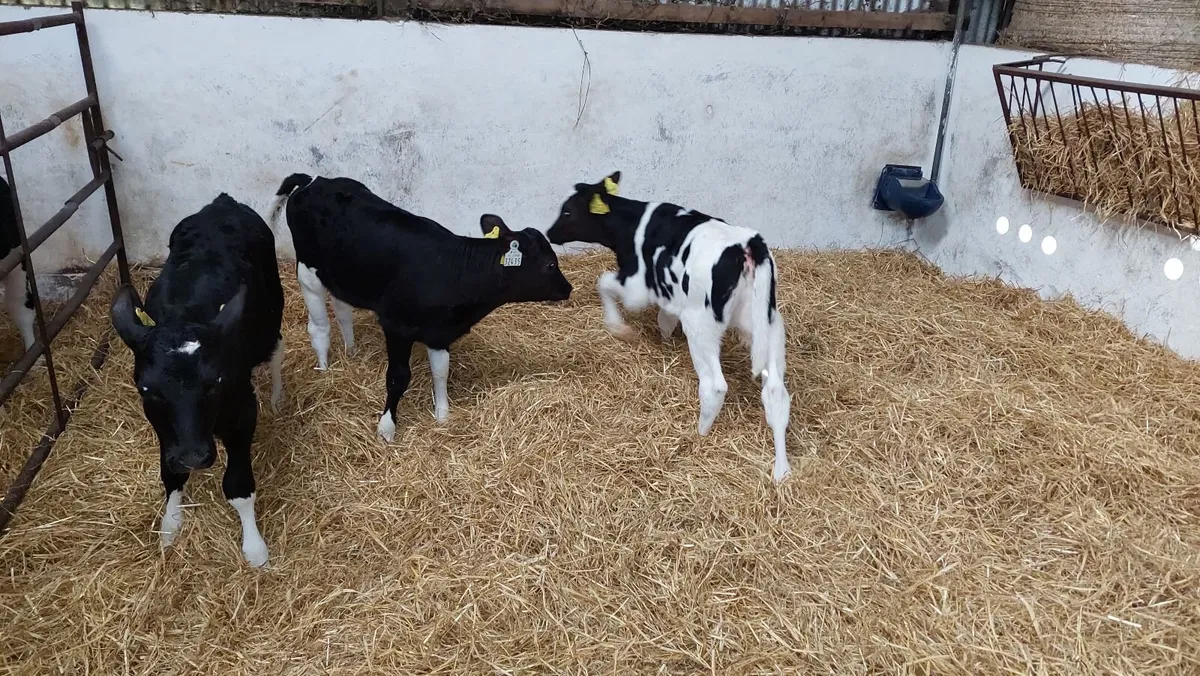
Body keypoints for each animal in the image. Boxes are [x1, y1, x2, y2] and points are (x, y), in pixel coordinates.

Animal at [110, 194, 285, 567]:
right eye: (147, 390)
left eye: (216, 382)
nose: (192, 456)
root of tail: (222, 202)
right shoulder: (162, 426)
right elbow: (170, 474)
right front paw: (170, 526)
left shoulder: (243, 411)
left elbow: (238, 486)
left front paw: (254, 548)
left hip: (271, 316)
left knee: (276, 348)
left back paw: (278, 397)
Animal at [268, 173, 573, 443]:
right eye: (551, 264)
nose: (568, 288)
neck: (453, 271)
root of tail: (314, 181)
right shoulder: (396, 326)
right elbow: (398, 377)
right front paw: (387, 427)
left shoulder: (440, 332)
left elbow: (440, 371)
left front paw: (442, 415)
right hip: (308, 271)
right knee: (318, 326)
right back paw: (324, 368)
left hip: (342, 274)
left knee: (342, 308)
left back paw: (351, 351)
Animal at [545, 172, 792, 484]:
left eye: (567, 211)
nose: (549, 233)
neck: (632, 225)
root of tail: (748, 245)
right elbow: (664, 317)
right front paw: (663, 339)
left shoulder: (637, 286)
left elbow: (603, 283)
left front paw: (620, 329)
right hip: (767, 324)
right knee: (775, 393)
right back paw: (781, 470)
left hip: (701, 324)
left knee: (714, 386)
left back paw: (700, 434)